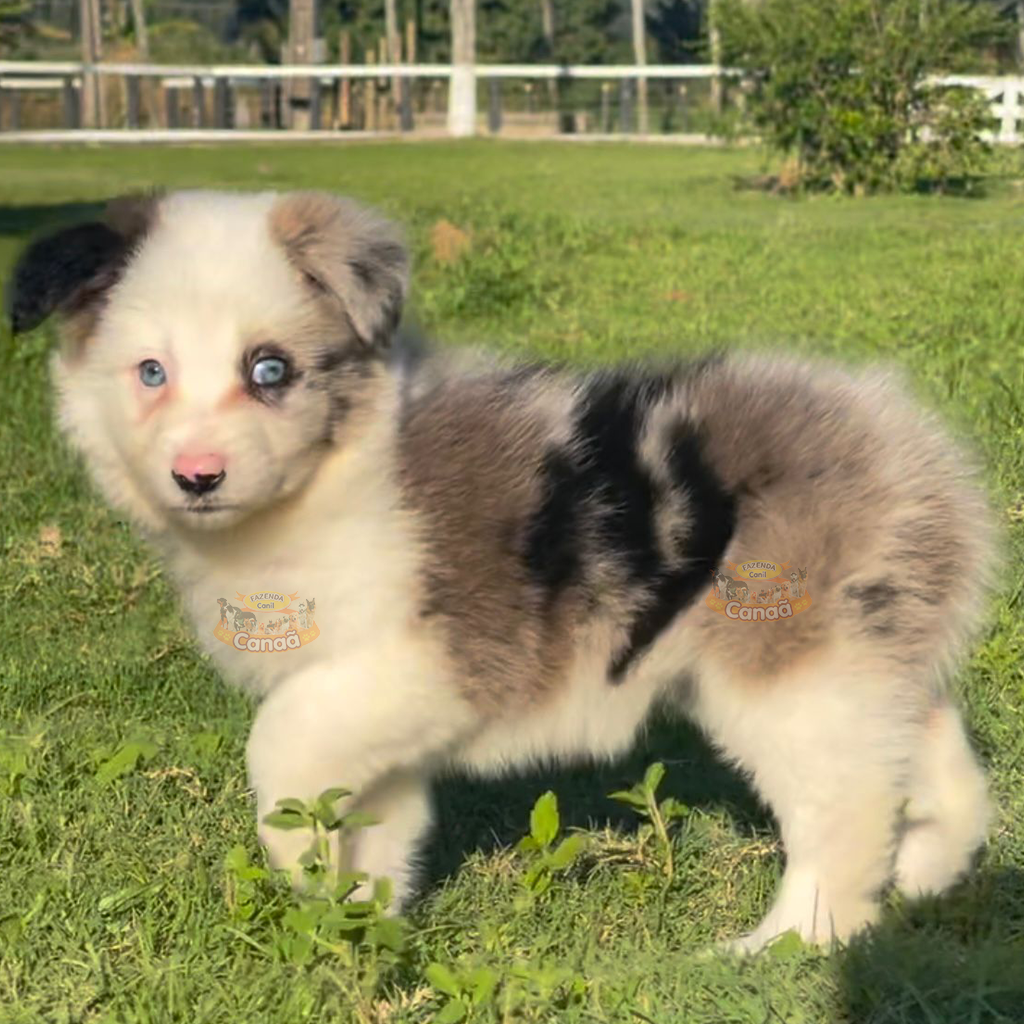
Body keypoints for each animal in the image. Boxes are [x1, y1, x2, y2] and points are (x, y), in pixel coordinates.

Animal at [8, 190, 995, 950]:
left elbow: (279, 741)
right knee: (926, 753)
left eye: (270, 369)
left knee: (848, 811)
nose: (197, 476)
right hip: (861, 659)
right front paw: (353, 924)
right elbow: (378, 823)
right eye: (150, 374)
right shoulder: (377, 713)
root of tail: (921, 453)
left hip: (786, 675)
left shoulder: (440, 662)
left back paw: (787, 943)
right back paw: (930, 874)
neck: (335, 475)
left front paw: (298, 863)